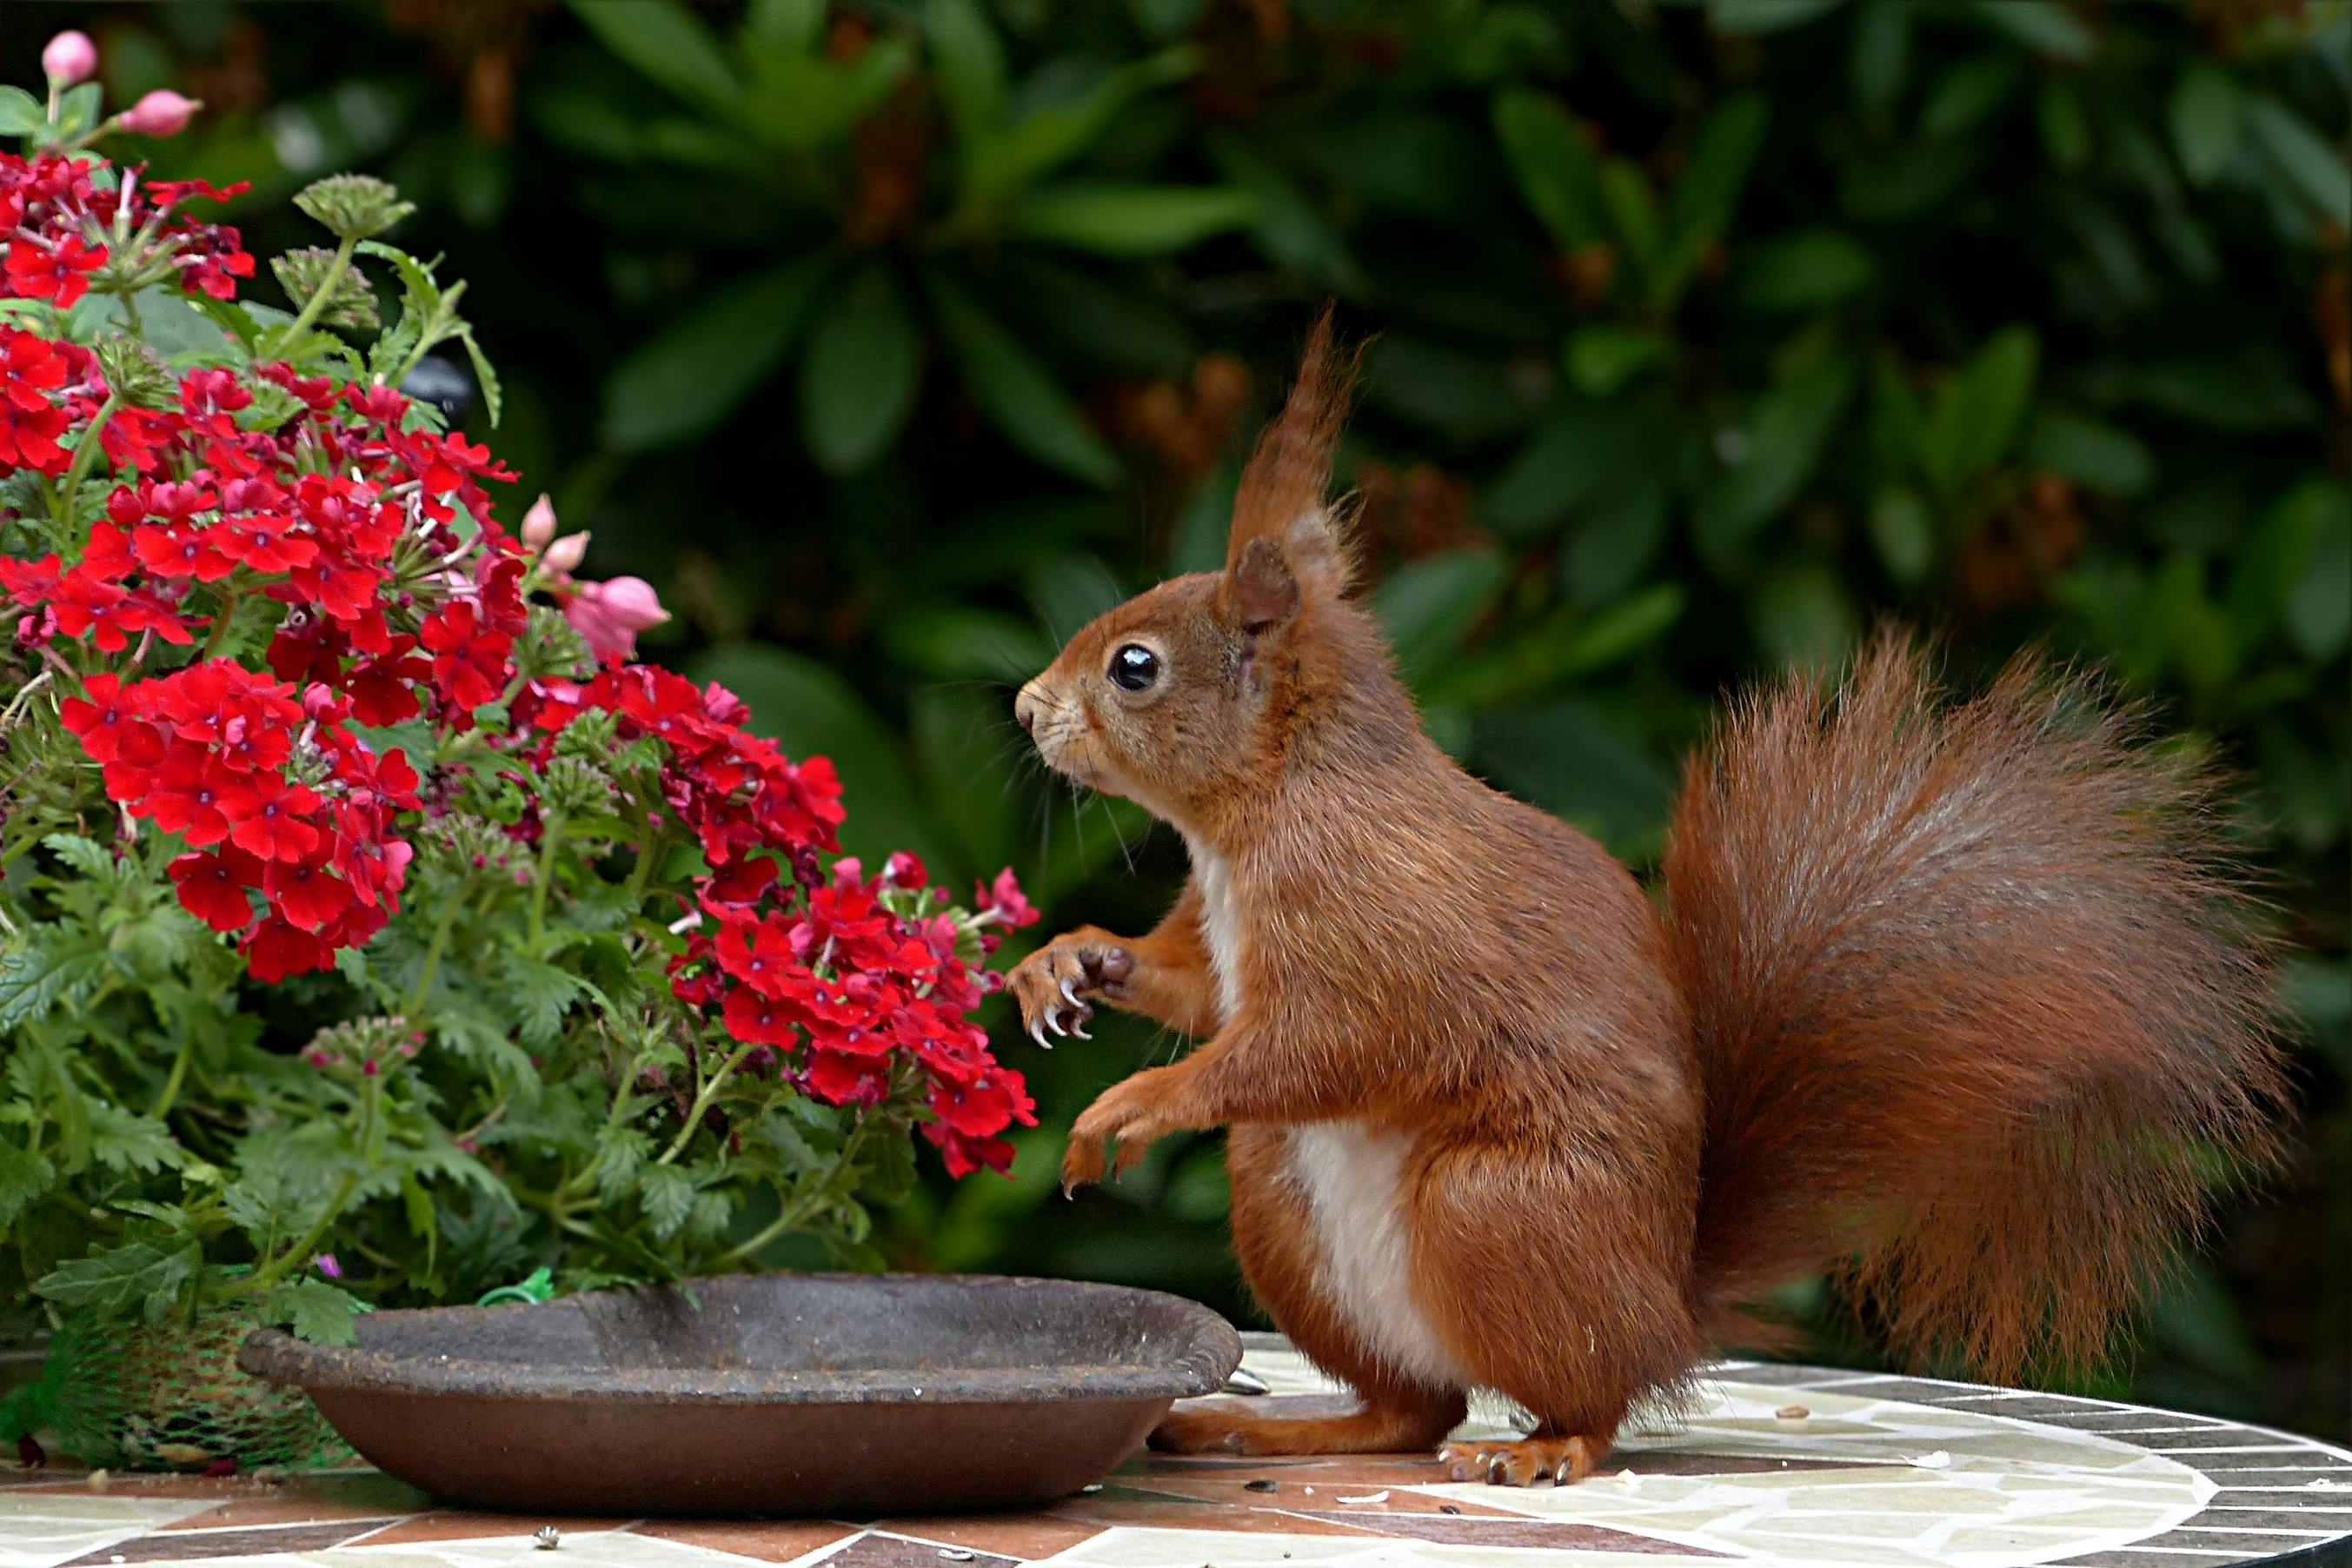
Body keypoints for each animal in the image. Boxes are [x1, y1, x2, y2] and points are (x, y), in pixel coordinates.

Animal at [1007, 312, 2276, 1495]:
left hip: (1495, 1209)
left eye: (1134, 667)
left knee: (1580, 1399)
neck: (1261, 812)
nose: (1023, 708)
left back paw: (1540, 1446)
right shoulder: (1223, 937)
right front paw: (1067, 962)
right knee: (1410, 1408)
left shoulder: (1374, 919)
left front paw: (1135, 1102)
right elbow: (1195, 990)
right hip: (1282, 1201)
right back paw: (1268, 1426)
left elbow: (1325, 1042)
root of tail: (1668, 1307)